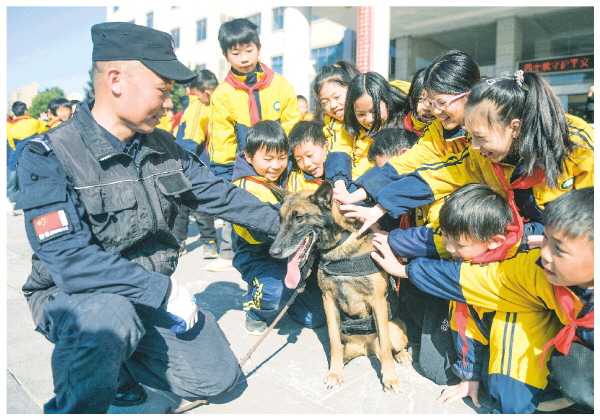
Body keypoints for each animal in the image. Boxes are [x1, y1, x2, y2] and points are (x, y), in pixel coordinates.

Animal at [269, 180, 411, 393]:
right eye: (280, 219)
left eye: (299, 218)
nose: (273, 252)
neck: (339, 247)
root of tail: (368, 348)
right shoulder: (328, 301)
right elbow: (334, 343)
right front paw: (335, 373)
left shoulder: (378, 301)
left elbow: (386, 348)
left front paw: (390, 379)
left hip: (395, 330)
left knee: (391, 345)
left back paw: (402, 355)